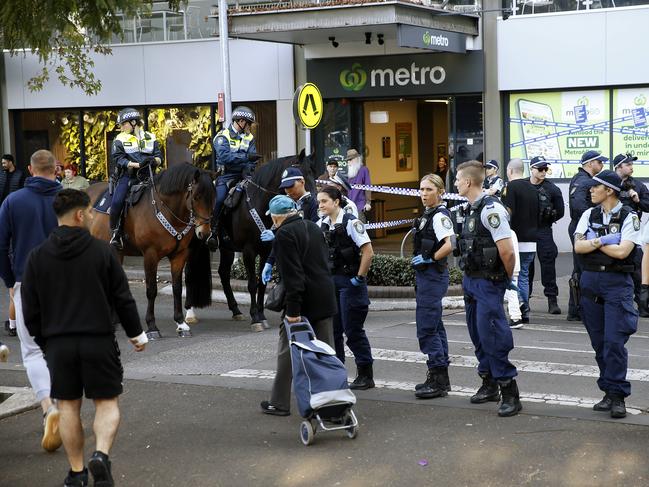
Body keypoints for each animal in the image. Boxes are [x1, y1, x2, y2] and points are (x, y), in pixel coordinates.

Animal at [86, 164, 215, 340]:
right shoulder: (150, 255)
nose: (204, 233)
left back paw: (115, 320)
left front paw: (181, 323)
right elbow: (151, 290)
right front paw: (152, 326)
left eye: (213, 197)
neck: (166, 210)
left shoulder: (179, 255)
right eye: (196, 197)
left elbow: (177, 288)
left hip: (116, 252)